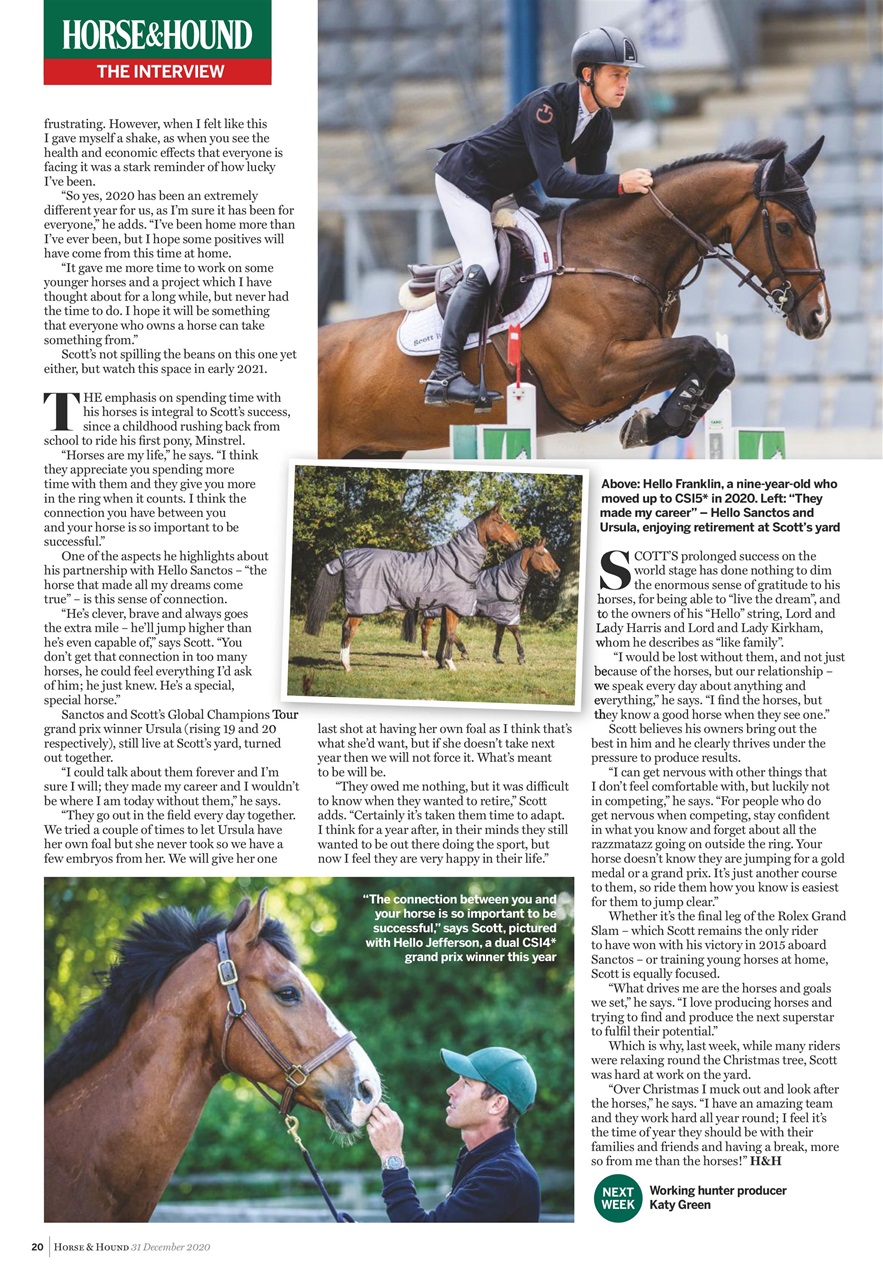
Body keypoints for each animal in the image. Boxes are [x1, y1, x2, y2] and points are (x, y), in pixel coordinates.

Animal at [303, 504, 522, 671]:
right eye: (500, 522)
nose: (518, 542)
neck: (456, 562)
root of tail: (347, 557)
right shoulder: (453, 607)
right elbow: (451, 634)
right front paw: (451, 664)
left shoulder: (443, 607)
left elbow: (444, 634)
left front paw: (440, 663)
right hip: (360, 605)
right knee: (349, 629)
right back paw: (347, 666)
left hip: (355, 606)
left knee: (344, 628)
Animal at [318, 138, 829, 458]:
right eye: (786, 226)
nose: (819, 318)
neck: (621, 253)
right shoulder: (596, 377)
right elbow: (703, 349)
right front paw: (657, 422)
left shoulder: (636, 362)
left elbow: (717, 361)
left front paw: (660, 421)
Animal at [410, 538, 561, 666]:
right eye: (541, 554)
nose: (557, 571)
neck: (506, 581)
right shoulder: (506, 615)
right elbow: (517, 633)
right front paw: (521, 657)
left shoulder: (502, 615)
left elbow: (499, 636)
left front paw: (498, 657)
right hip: (434, 611)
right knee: (427, 628)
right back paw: (426, 654)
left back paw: (462, 651)